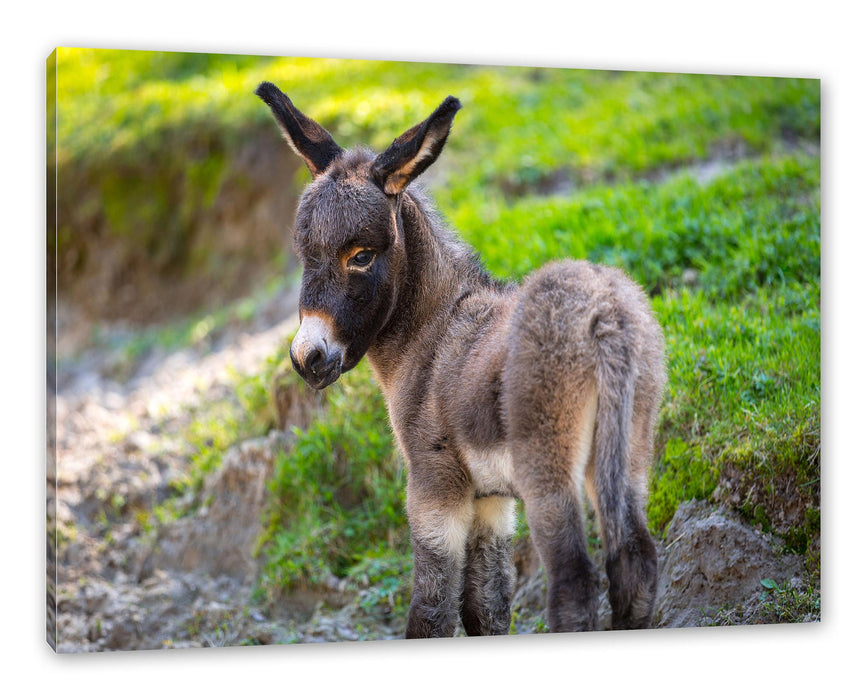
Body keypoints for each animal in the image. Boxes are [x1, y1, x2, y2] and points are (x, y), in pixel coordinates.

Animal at [253, 80, 664, 636]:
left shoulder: (434, 487)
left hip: (549, 469)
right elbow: (484, 607)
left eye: (361, 256)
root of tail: (605, 316)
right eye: (303, 255)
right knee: (635, 563)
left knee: (574, 581)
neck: (432, 331)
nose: (307, 358)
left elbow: (432, 610)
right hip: (628, 453)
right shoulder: (491, 501)